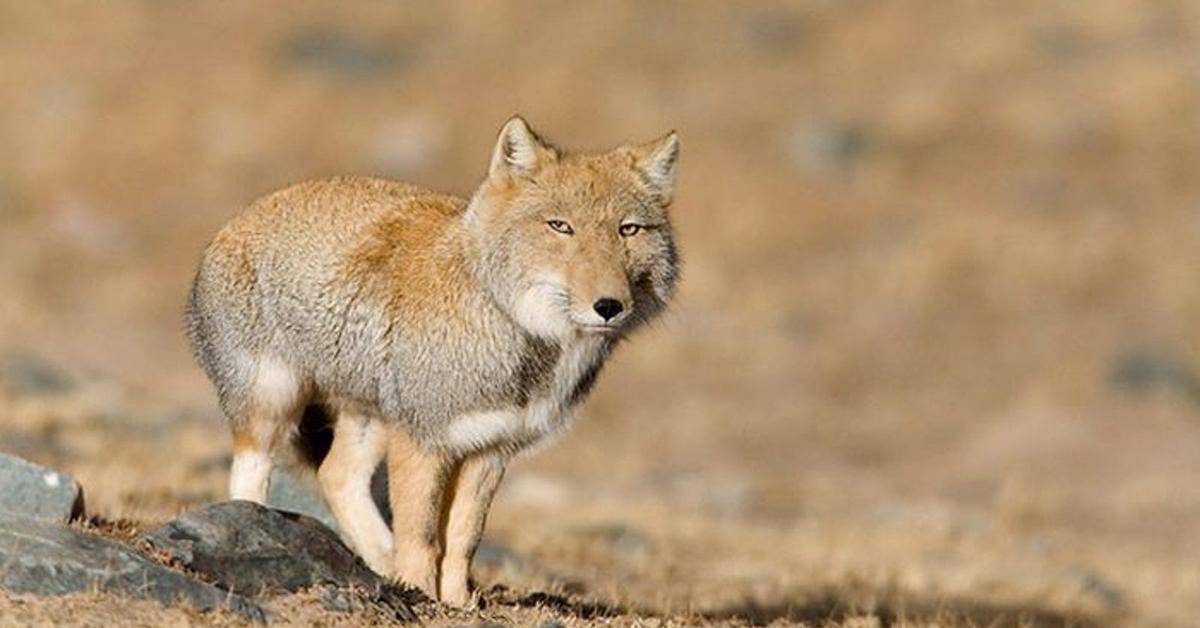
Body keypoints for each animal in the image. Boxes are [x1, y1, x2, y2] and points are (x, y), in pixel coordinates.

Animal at [183, 115, 681, 607]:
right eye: (560, 226)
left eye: (628, 229)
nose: (609, 306)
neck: (514, 332)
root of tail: (243, 215)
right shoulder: (423, 440)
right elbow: (422, 535)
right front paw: (419, 593)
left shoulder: (489, 449)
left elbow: (462, 539)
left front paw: (457, 602)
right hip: (272, 407)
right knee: (250, 478)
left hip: (369, 420)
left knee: (336, 475)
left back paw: (381, 561)